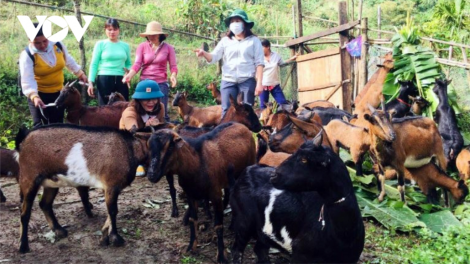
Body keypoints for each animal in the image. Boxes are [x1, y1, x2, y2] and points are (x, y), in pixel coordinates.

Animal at [16, 125, 149, 253]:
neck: (128, 147)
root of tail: (24, 138)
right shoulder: (112, 186)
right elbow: (113, 211)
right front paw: (116, 238)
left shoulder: (108, 188)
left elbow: (110, 211)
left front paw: (104, 237)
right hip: (29, 179)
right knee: (25, 213)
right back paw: (23, 246)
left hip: (51, 182)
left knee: (44, 204)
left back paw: (59, 230)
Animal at [147, 122, 258, 264]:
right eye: (149, 145)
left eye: (170, 146)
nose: (151, 175)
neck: (197, 162)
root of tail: (241, 125)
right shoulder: (191, 194)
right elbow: (193, 219)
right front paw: (191, 246)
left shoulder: (215, 194)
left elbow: (218, 226)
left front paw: (221, 256)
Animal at [230, 133, 364, 264]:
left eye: (304, 159)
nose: (274, 176)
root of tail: (250, 168)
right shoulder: (300, 255)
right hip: (243, 221)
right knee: (237, 250)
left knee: (260, 249)